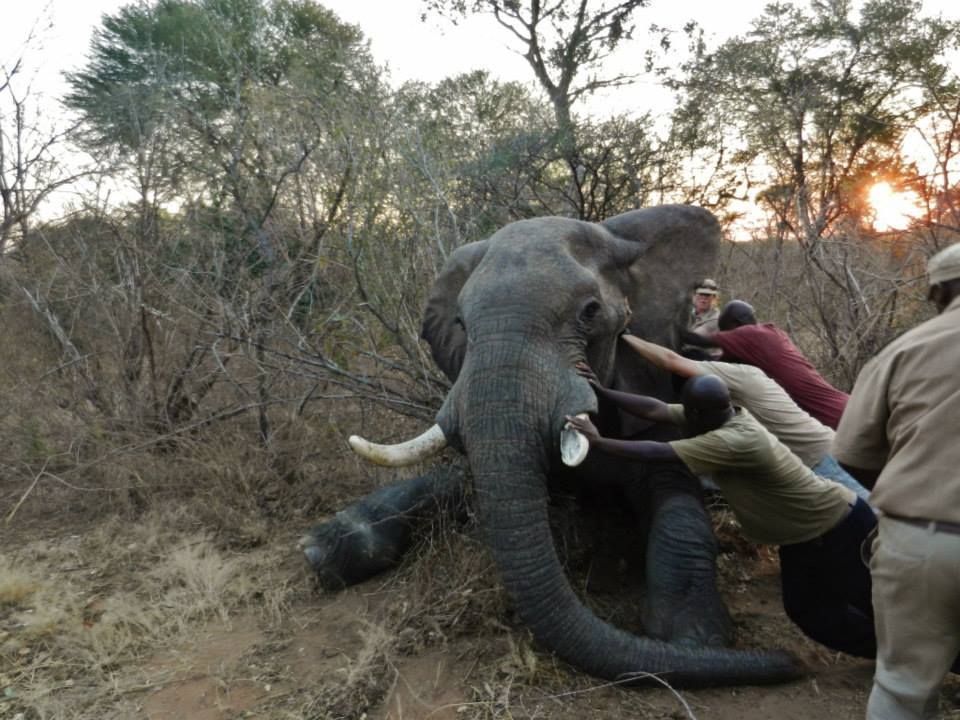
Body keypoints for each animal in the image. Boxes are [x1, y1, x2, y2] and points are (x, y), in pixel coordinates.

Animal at [302, 205, 803, 687]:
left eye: (590, 312)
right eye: (461, 323)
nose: (790, 661)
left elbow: (678, 505)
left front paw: (694, 638)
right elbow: (459, 481)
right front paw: (321, 551)